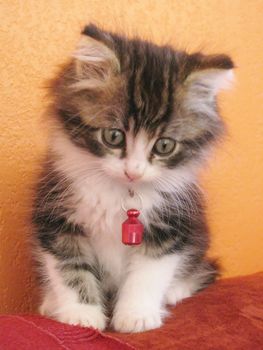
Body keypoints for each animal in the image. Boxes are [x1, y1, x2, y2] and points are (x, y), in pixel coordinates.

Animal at [32, 23, 234, 332]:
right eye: (114, 137)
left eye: (164, 145)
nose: (133, 171)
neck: (120, 192)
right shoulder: (57, 217)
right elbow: (70, 268)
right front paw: (81, 314)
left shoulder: (170, 226)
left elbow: (148, 274)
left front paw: (136, 315)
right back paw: (52, 302)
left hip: (198, 233)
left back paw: (175, 290)